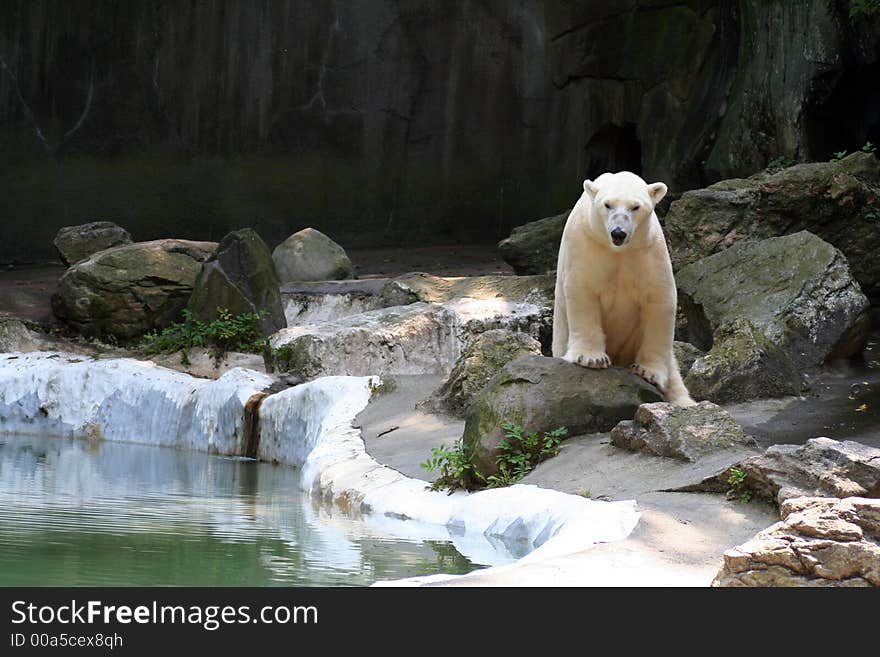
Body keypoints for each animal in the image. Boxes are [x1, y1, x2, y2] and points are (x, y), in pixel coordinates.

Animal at [552, 169, 696, 404]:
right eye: (607, 204)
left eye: (635, 207)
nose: (618, 232)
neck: (618, 249)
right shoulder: (585, 243)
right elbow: (582, 290)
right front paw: (591, 358)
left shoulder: (648, 249)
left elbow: (660, 299)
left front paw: (648, 372)